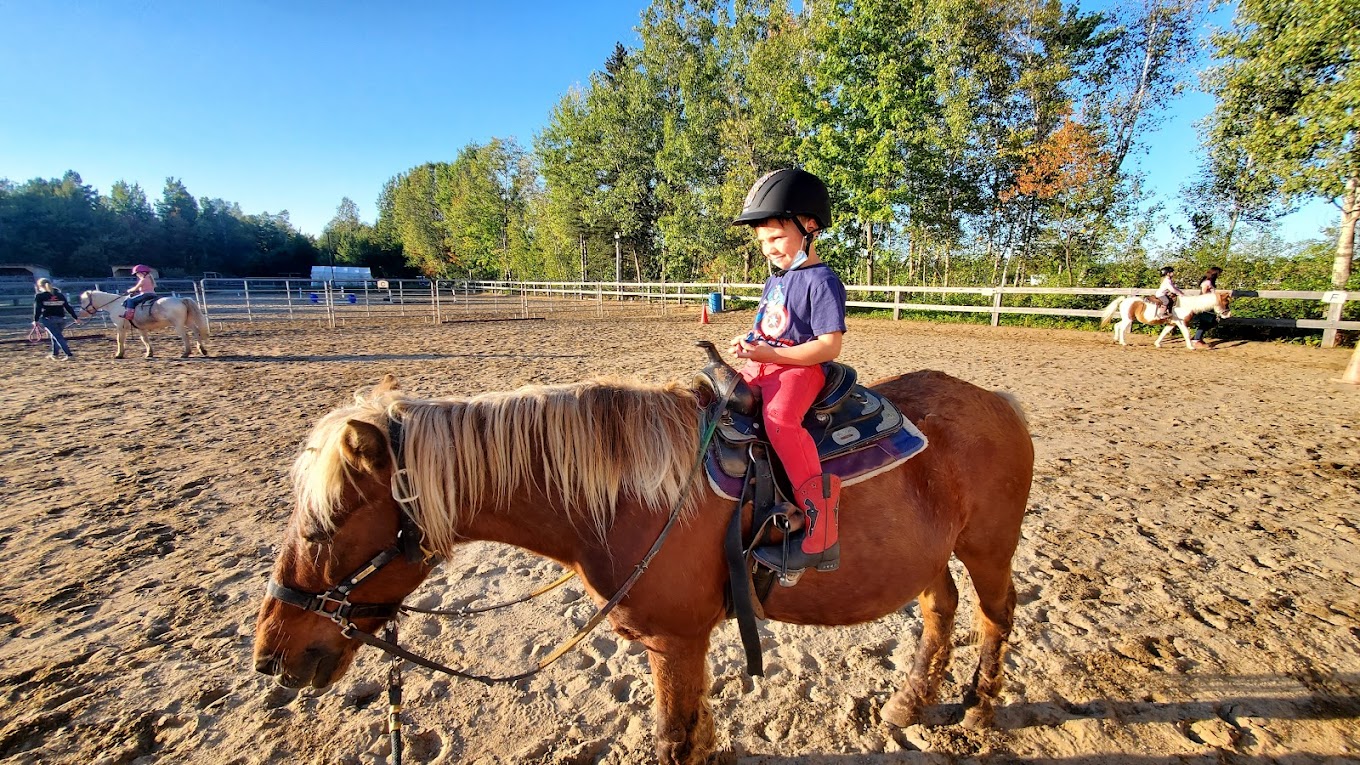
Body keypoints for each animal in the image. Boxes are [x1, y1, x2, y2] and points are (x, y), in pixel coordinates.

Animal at [77, 287, 208, 359]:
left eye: (83, 301)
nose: (79, 314)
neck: (115, 304)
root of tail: (180, 299)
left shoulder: (120, 327)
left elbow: (120, 340)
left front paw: (119, 354)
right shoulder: (141, 328)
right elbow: (145, 340)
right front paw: (149, 353)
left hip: (178, 324)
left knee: (185, 336)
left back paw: (186, 353)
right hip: (187, 321)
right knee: (196, 331)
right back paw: (202, 350)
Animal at [255, 367, 1028, 756]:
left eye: (324, 528)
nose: (269, 653)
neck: (634, 496)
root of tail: (997, 398)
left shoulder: (674, 641)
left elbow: (674, 740)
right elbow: (693, 736)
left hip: (988, 549)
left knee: (996, 613)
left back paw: (978, 708)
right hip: (930, 555)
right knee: (940, 608)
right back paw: (909, 701)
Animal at [1098, 287, 1240, 347]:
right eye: (1226, 302)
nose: (1228, 314)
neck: (1187, 305)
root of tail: (1124, 300)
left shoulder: (1171, 323)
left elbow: (1163, 333)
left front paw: (1157, 344)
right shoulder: (1181, 322)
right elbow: (1186, 334)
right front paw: (1191, 346)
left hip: (1127, 319)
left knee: (1117, 325)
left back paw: (1116, 340)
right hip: (1128, 319)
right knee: (1121, 328)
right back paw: (1123, 342)